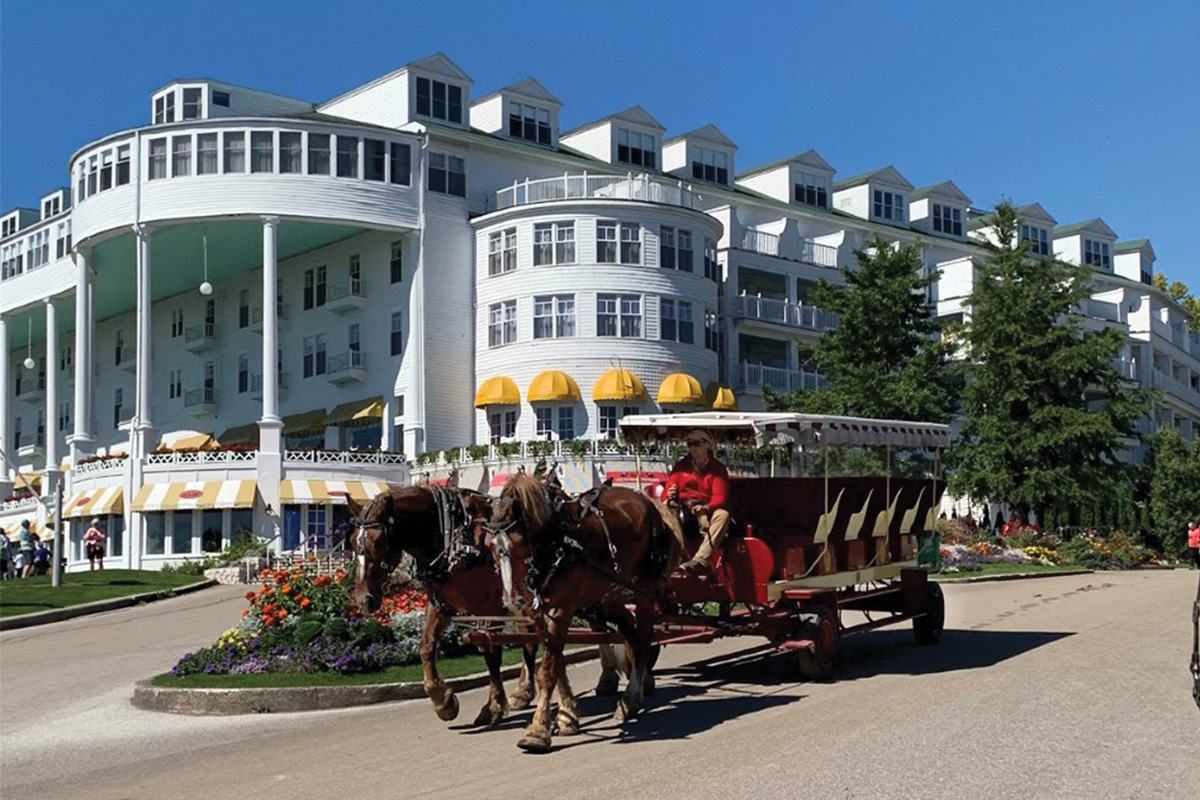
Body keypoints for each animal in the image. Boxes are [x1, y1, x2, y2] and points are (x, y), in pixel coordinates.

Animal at [482, 474, 681, 753]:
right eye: (490, 546)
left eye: (520, 541)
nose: (514, 599)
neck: (557, 542)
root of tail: (649, 503)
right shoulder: (541, 614)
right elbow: (556, 663)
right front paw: (567, 718)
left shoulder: (561, 609)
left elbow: (547, 671)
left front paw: (537, 730)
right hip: (608, 597)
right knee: (631, 639)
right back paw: (634, 694)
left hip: (644, 590)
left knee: (642, 640)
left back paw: (631, 697)